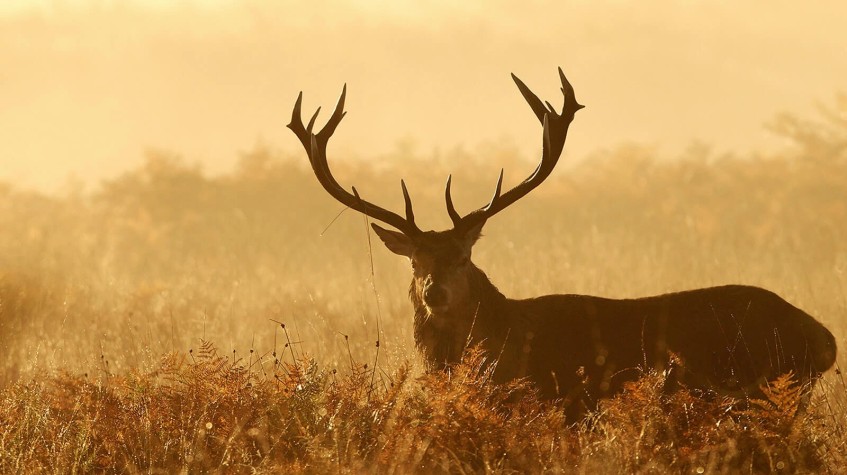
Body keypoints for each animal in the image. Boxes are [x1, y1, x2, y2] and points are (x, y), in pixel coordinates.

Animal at [287, 68, 837, 421]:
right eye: (415, 260)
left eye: (464, 257)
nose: (434, 292)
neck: (505, 343)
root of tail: (825, 339)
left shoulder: (562, 402)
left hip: (763, 391)